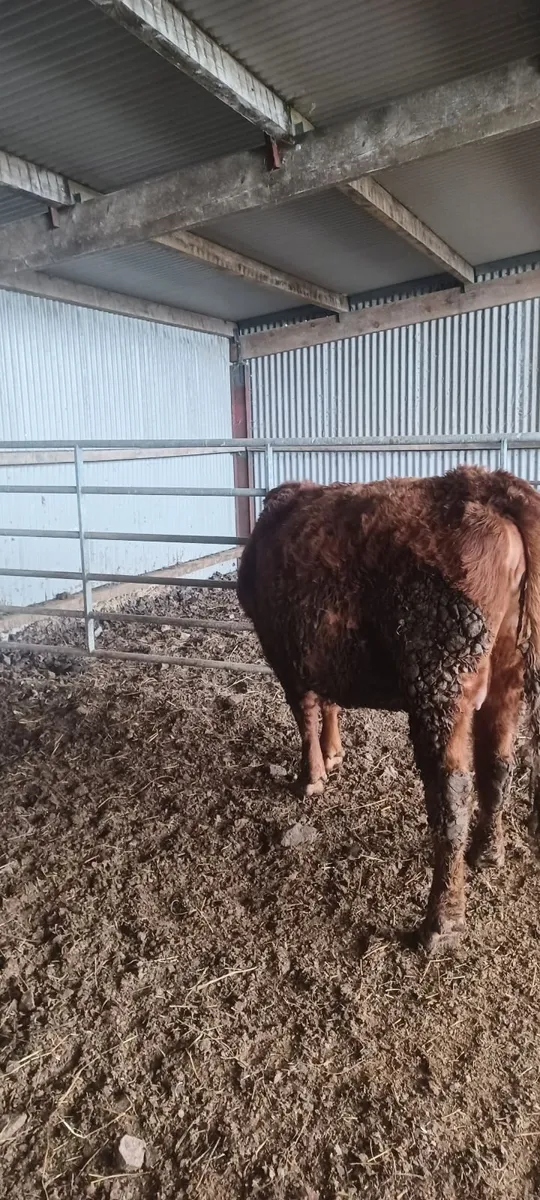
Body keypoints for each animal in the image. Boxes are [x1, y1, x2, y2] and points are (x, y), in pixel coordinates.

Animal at [237, 466, 540, 953]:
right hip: (507, 671)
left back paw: (441, 922)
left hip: (439, 682)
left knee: (452, 795)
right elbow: (328, 701)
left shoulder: (286, 654)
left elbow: (305, 713)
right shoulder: (320, 649)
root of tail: (485, 484)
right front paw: (334, 754)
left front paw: (311, 775)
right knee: (498, 765)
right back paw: (487, 852)